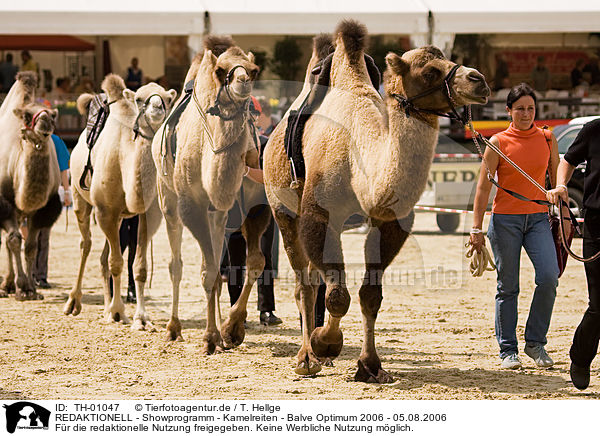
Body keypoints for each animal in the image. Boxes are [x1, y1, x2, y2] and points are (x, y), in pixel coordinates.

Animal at [0, 72, 61, 304]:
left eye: (53, 116)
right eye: (27, 116)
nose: (45, 122)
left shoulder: (43, 208)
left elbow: (31, 246)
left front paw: (31, 289)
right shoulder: (3, 202)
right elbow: (15, 240)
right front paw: (23, 288)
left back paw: (8, 284)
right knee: (7, 240)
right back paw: (5, 287)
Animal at [67, 73, 178, 328]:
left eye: (168, 99)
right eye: (139, 99)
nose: (157, 108)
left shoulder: (149, 215)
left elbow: (139, 266)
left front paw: (141, 318)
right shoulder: (105, 210)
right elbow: (116, 263)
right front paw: (118, 312)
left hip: (118, 218)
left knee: (102, 257)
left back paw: (106, 307)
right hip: (80, 199)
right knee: (86, 244)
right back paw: (75, 302)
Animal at [151, 35, 262, 352]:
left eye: (254, 70)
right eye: (221, 71)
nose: (242, 81)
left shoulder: (247, 208)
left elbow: (252, 264)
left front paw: (229, 330)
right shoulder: (192, 206)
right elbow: (207, 270)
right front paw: (211, 337)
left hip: (219, 216)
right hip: (168, 200)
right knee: (177, 264)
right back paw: (173, 328)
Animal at [264, 20, 490, 382]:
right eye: (429, 71)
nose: (478, 79)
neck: (360, 158)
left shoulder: (389, 222)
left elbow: (370, 295)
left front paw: (369, 365)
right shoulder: (318, 215)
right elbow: (337, 295)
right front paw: (326, 343)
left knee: (315, 279)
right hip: (283, 210)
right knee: (304, 284)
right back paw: (307, 357)